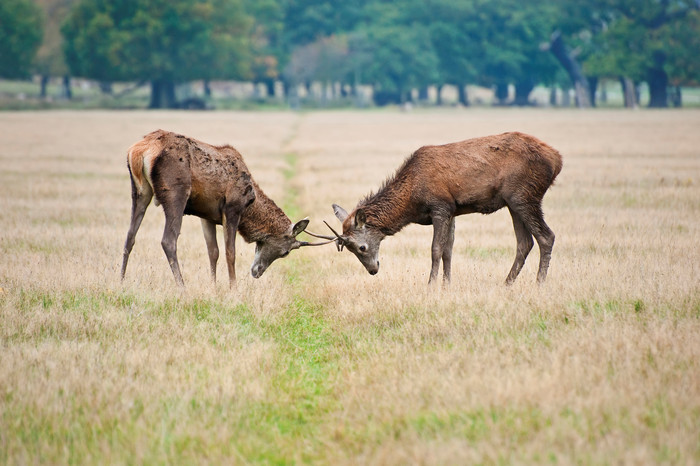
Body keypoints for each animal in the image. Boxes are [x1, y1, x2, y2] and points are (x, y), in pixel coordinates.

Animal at [121, 129, 332, 286]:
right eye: (286, 252)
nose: (257, 272)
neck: (250, 205)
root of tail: (139, 151)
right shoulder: (231, 210)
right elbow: (230, 253)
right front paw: (233, 288)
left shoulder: (206, 215)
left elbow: (213, 252)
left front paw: (213, 287)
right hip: (175, 192)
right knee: (168, 240)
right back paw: (182, 286)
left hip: (139, 191)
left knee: (130, 236)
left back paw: (121, 281)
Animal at [326, 130, 564, 284]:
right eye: (350, 249)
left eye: (361, 247)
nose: (373, 270)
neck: (412, 199)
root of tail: (557, 160)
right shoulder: (453, 210)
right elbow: (448, 249)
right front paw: (446, 284)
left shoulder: (440, 206)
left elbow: (436, 249)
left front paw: (431, 284)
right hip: (513, 202)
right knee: (524, 242)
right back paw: (507, 282)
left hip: (524, 195)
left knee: (546, 236)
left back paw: (539, 283)